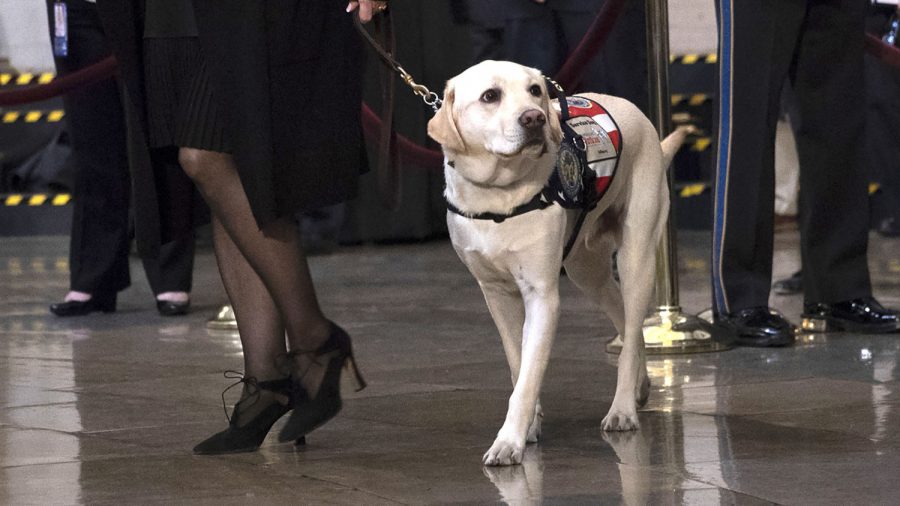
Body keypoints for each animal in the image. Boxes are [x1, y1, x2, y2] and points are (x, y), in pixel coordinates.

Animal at [428, 61, 688, 468]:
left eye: (535, 90)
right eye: (490, 96)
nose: (534, 118)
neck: (500, 197)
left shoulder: (542, 297)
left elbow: (529, 374)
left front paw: (509, 441)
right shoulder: (496, 295)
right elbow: (518, 364)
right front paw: (529, 424)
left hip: (637, 258)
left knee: (630, 332)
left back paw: (623, 408)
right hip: (587, 270)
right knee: (625, 323)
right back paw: (640, 385)